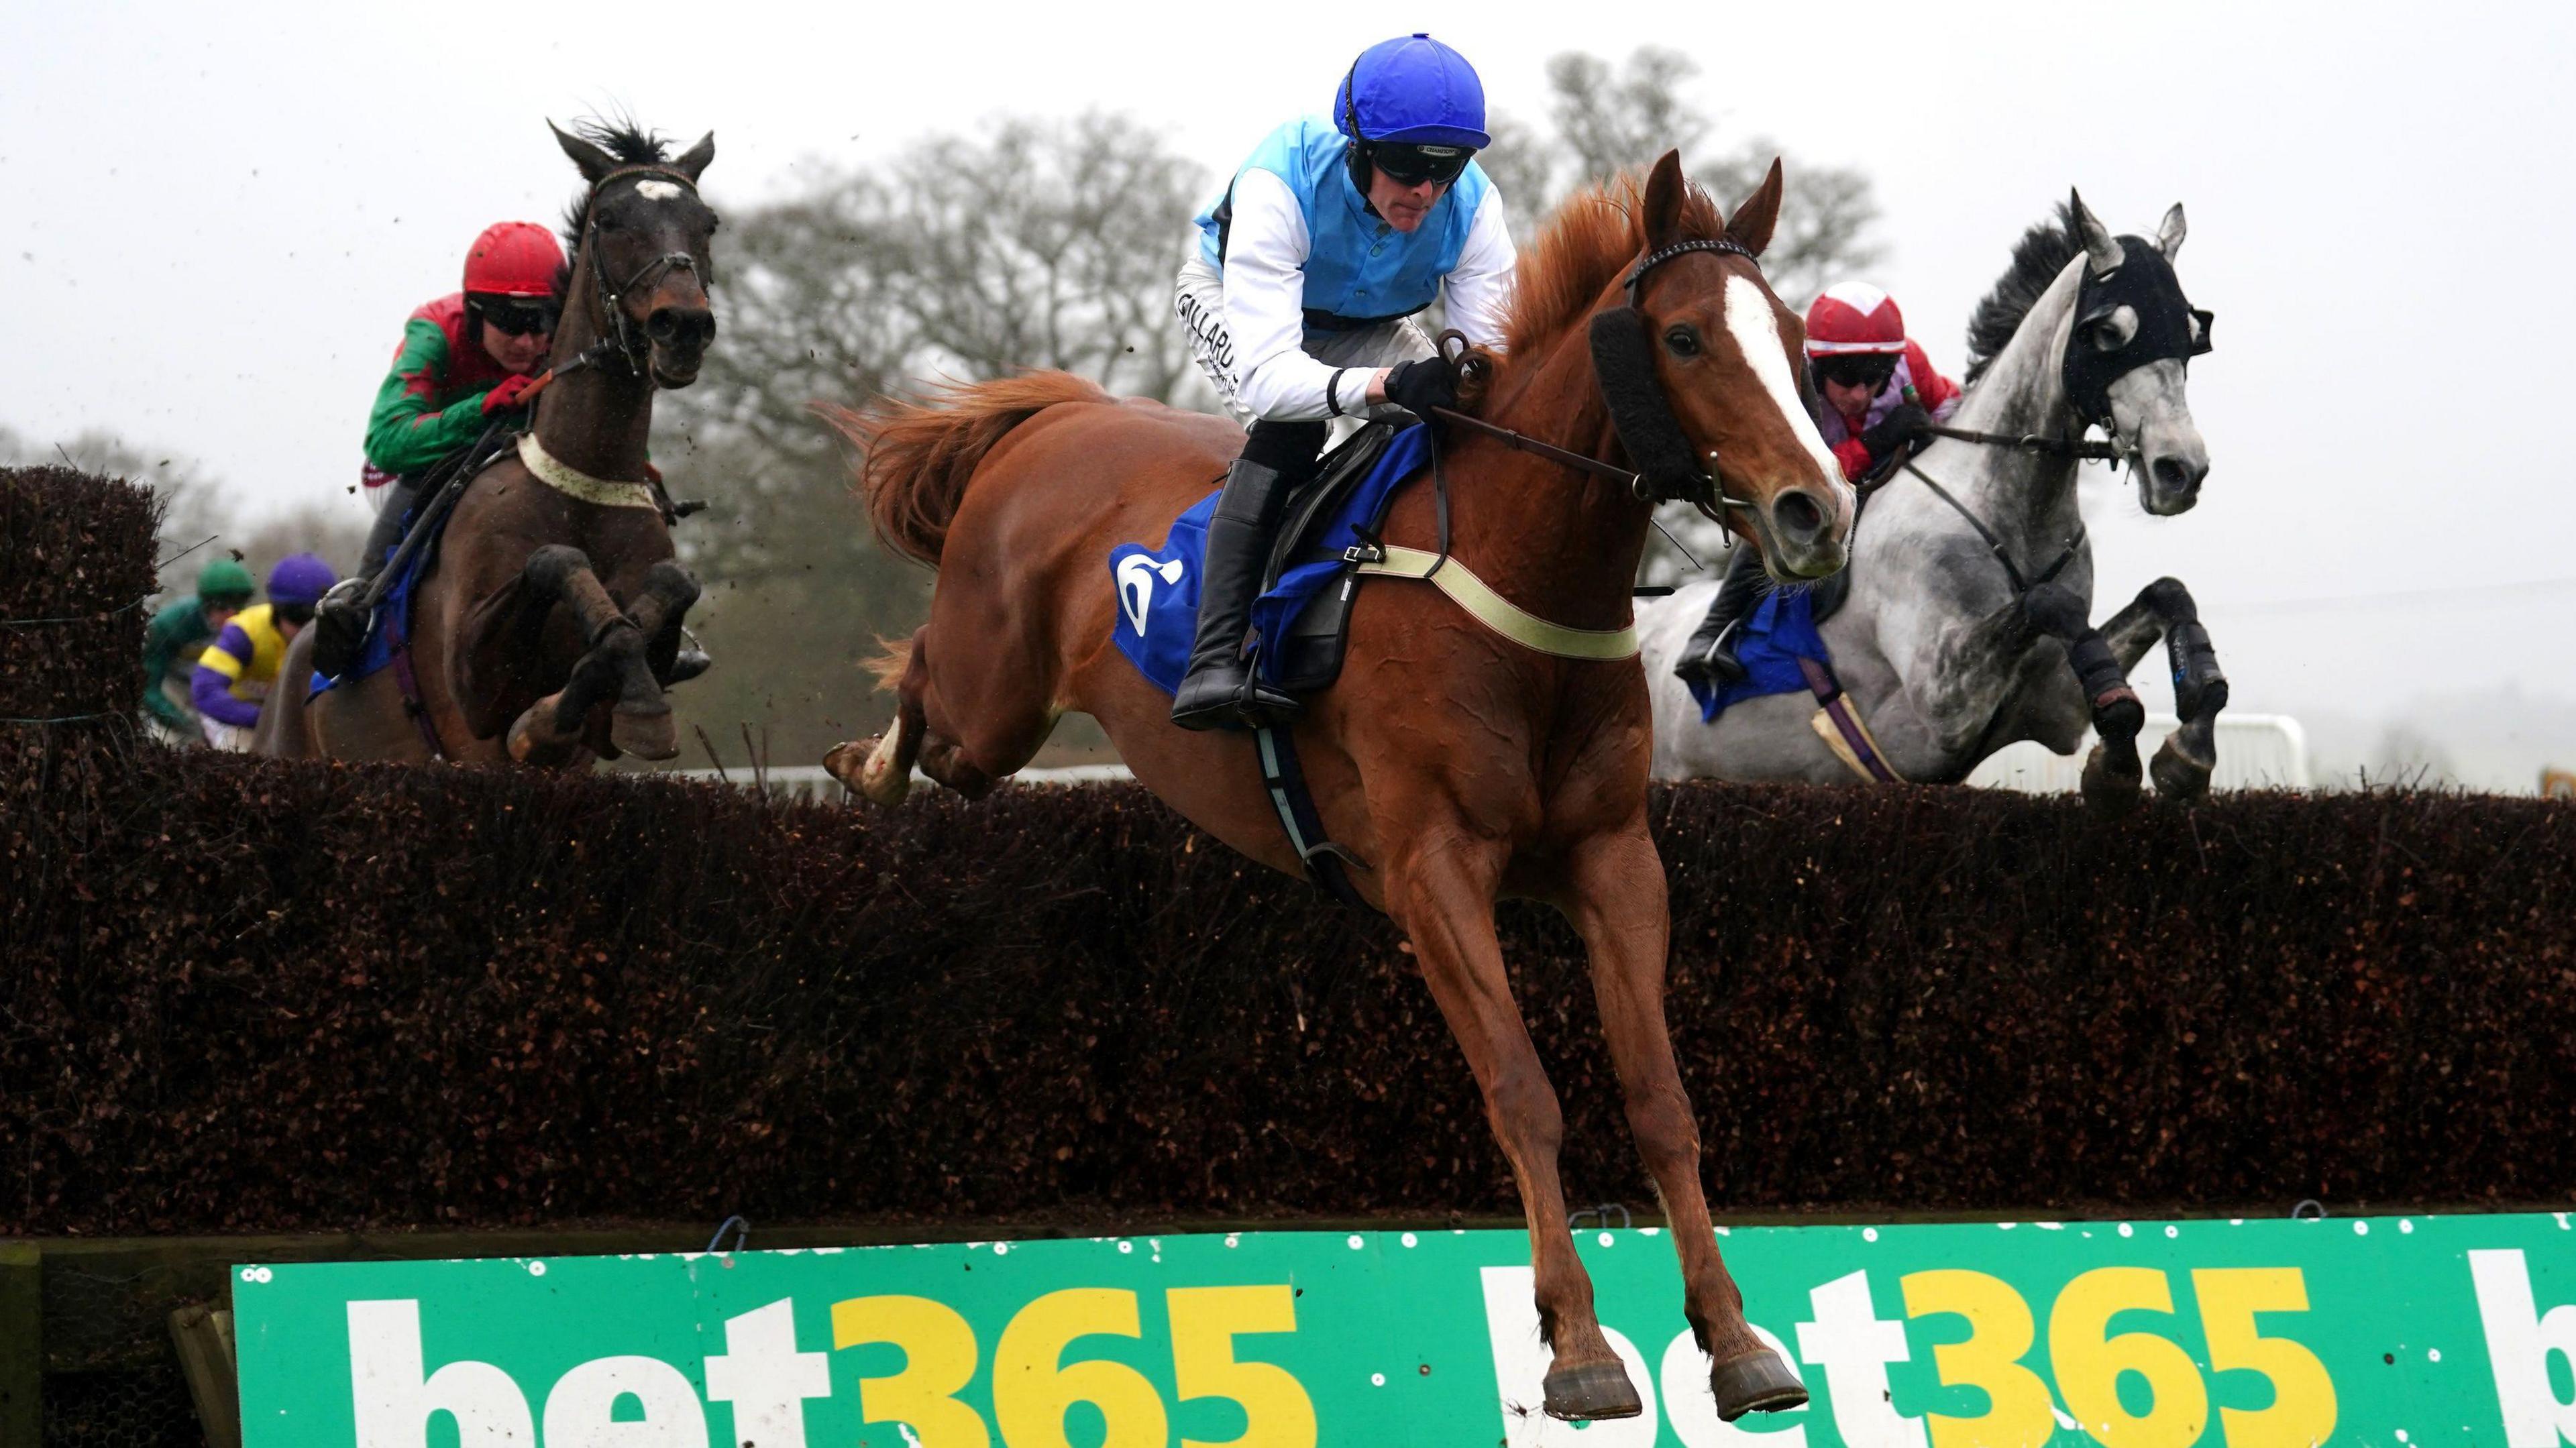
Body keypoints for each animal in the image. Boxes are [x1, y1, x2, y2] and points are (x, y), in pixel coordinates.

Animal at [258, 123, 721, 767]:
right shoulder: (473, 685)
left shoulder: (602, 722)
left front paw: (626, 706)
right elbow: (553, 560)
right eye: (608, 219)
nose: (682, 326)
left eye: (708, 223)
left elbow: (665, 595)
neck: (582, 481)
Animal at [835, 152, 1865, 1412]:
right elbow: (1522, 1088)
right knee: (925, 692)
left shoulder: (1615, 859)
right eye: (1682, 338)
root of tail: (1062, 414)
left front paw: (1736, 1338)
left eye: (1793, 339)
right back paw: (863, 765)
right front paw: (1576, 1345)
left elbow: (1662, 1102)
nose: (1818, 512)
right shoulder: (1433, 870)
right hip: (995, 699)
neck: (1523, 579)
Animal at [1648, 185, 2215, 803]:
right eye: (2110, 333)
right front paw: (2126, 757)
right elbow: (2048, 603)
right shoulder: (1942, 698)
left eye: (2192, 335)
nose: (2181, 469)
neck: (2015, 520)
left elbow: (2167, 594)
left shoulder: (2053, 703)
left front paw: (2186, 746)